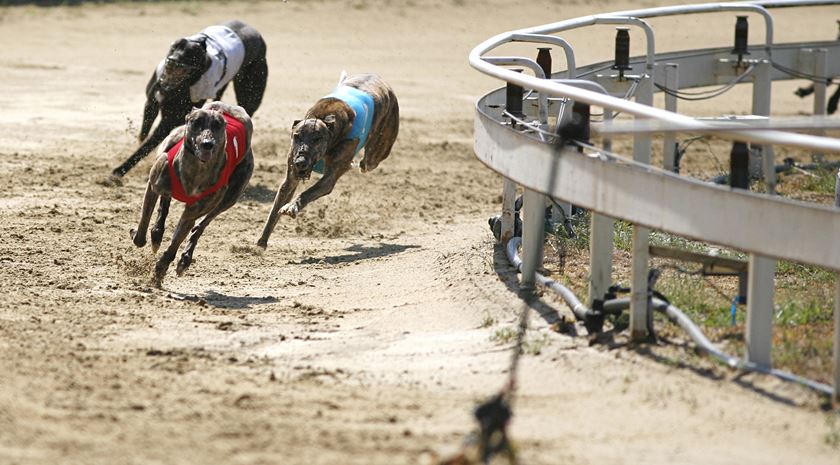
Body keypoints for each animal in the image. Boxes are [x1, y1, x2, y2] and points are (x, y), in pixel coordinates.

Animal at [130, 101, 254, 286]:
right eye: (196, 122)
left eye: (218, 125)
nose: (207, 143)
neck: (196, 170)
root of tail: (230, 107)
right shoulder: (153, 186)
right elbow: (141, 232)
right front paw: (145, 236)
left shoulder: (192, 212)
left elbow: (176, 241)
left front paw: (160, 270)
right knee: (165, 203)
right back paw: (157, 233)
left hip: (230, 197)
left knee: (201, 226)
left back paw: (185, 258)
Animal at [258, 72, 398, 248]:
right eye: (296, 136)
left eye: (317, 139)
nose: (300, 162)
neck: (325, 118)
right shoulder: (291, 176)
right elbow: (276, 207)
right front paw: (262, 241)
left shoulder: (329, 178)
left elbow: (308, 192)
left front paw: (292, 207)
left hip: (378, 148)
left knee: (367, 162)